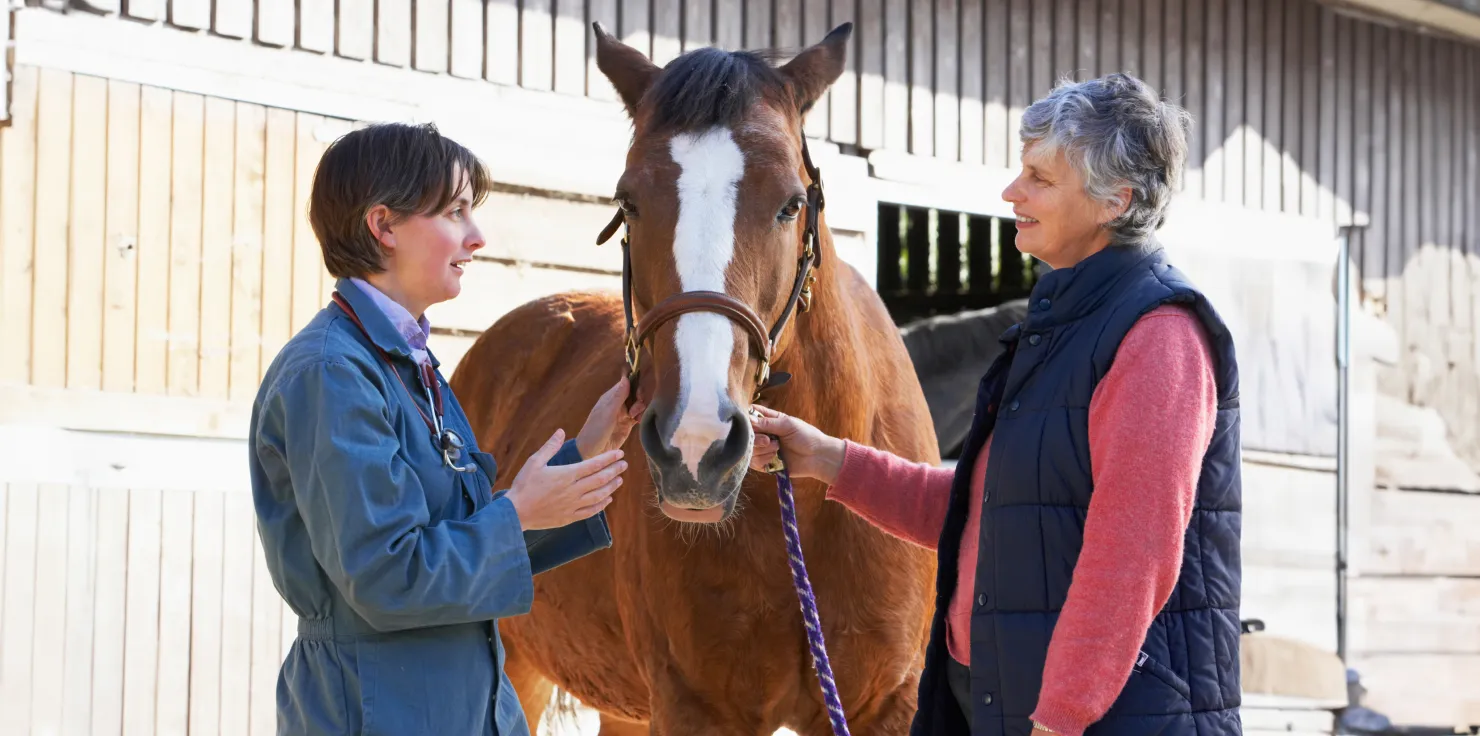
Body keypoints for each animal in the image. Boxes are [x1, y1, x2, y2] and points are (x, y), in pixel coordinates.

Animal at [450, 23, 939, 735]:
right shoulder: (697, 707)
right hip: (521, 667)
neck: (808, 510)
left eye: (791, 203)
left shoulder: (887, 706)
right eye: (628, 201)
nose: (697, 446)